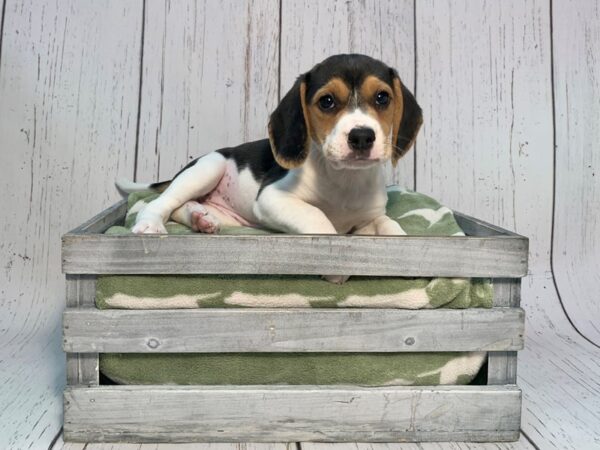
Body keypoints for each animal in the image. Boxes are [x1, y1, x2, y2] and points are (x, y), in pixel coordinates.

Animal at [117, 53, 422, 282]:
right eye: (327, 101)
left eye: (382, 98)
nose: (361, 136)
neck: (343, 179)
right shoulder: (273, 197)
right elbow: (319, 219)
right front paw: (336, 267)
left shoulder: (369, 216)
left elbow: (388, 223)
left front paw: (403, 250)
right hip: (208, 168)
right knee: (161, 202)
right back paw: (152, 223)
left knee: (183, 207)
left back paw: (201, 218)